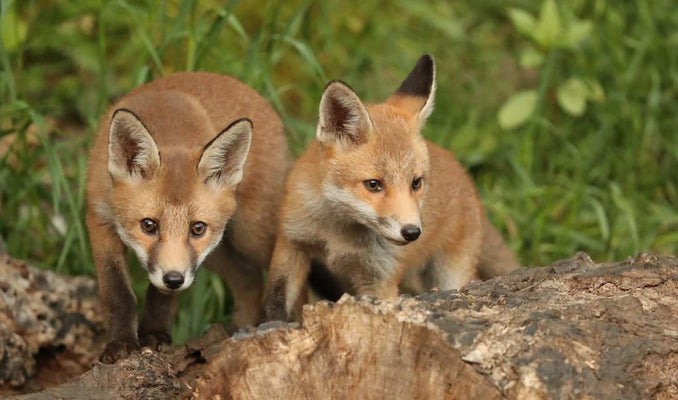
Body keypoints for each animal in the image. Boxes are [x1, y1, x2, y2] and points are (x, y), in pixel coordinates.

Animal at [86, 72, 289, 363]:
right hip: (218, 252)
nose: (174, 279)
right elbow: (118, 293)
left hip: (251, 235)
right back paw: (238, 331)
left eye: (197, 228)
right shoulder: (100, 220)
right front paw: (120, 343)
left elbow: (162, 297)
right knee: (250, 279)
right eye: (149, 225)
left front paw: (154, 335)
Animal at [261, 55, 518, 322]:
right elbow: (274, 303)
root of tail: (464, 174)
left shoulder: (380, 276)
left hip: (451, 273)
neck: (337, 234)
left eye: (416, 182)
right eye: (374, 184)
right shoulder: (292, 243)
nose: (412, 232)